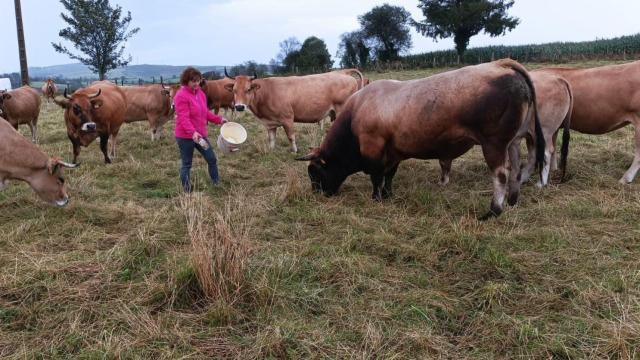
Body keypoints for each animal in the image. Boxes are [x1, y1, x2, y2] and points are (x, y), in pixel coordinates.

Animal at [225, 68, 364, 153]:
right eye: (234, 90)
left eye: (248, 89)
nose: (239, 106)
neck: (267, 93)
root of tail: (343, 72)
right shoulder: (270, 123)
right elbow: (271, 138)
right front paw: (271, 151)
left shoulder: (287, 118)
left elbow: (291, 137)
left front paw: (295, 151)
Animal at [296, 59, 544, 219]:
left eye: (314, 172)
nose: (318, 194)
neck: (356, 112)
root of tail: (500, 64)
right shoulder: (393, 152)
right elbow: (389, 175)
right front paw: (388, 195)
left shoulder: (373, 149)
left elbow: (376, 177)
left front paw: (376, 198)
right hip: (513, 141)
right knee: (516, 169)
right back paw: (512, 200)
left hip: (494, 144)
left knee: (501, 175)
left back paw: (494, 210)